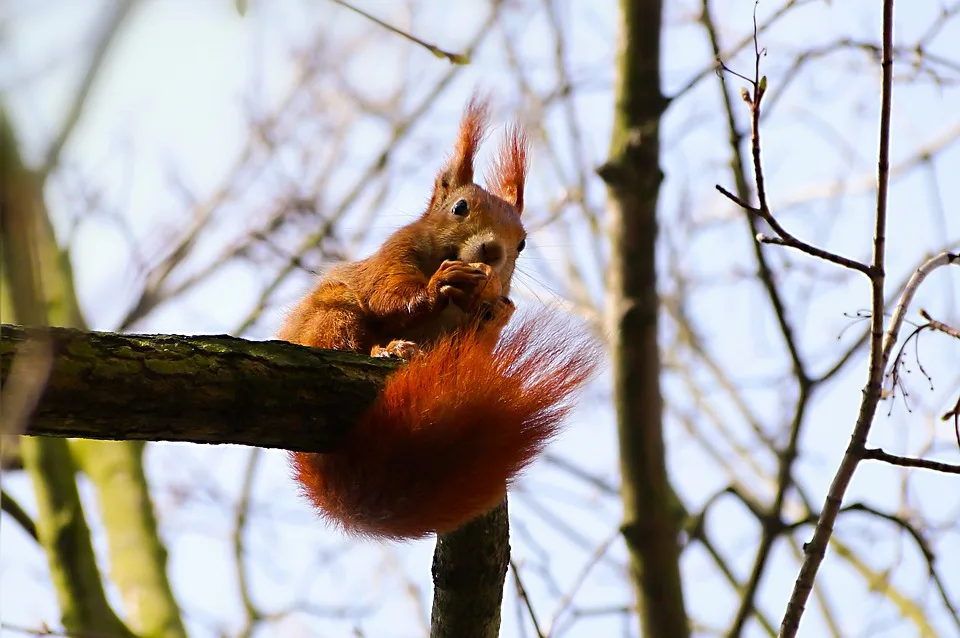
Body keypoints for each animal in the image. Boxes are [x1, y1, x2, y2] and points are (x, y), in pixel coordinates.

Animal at [274, 97, 600, 544]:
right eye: (459, 208)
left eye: (522, 242)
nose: (493, 250)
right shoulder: (391, 258)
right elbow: (389, 297)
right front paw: (438, 285)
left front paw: (495, 313)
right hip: (331, 316)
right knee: (342, 340)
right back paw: (389, 348)